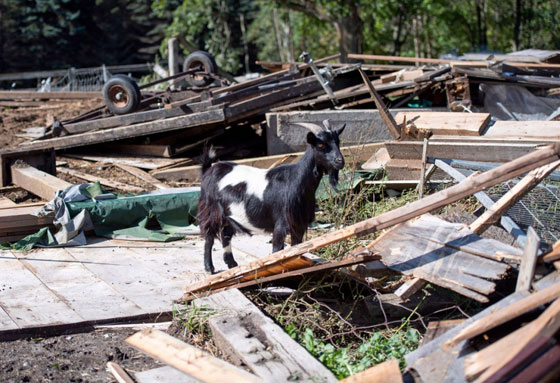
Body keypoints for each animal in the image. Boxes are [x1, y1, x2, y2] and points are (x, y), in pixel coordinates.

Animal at [197, 120, 346, 272]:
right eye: (320, 145)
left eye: (338, 141)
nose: (340, 161)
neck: (296, 179)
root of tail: (209, 170)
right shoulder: (281, 222)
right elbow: (277, 250)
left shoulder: (298, 224)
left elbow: (296, 249)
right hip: (211, 209)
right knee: (209, 235)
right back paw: (209, 268)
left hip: (229, 215)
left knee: (225, 234)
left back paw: (232, 264)